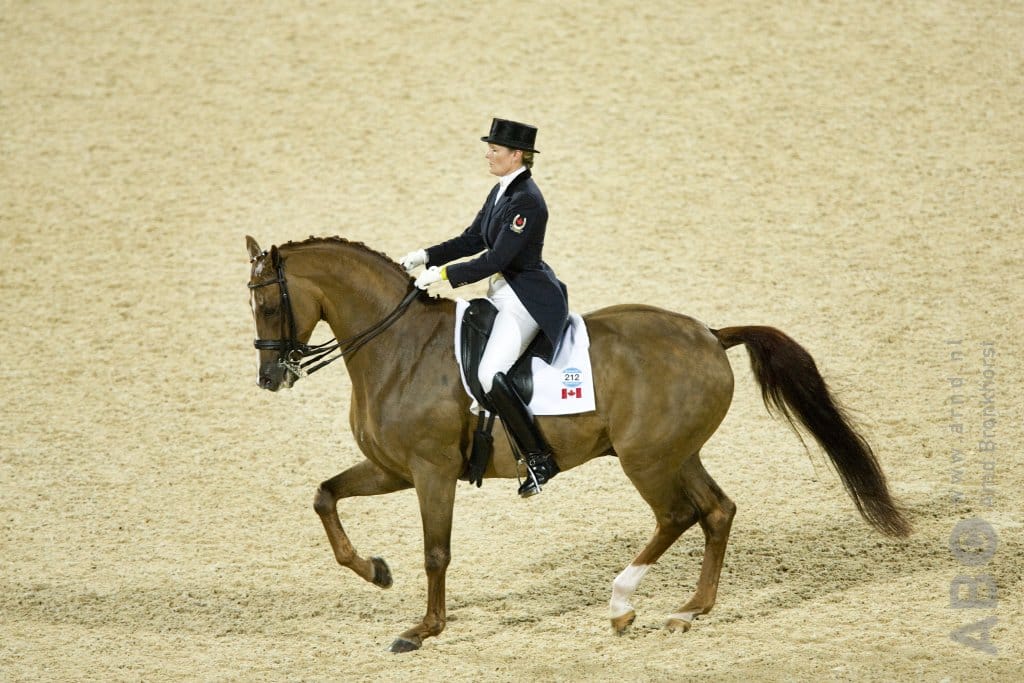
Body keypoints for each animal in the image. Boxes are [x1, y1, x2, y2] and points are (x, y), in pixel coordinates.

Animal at [245, 235, 911, 653]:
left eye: (271, 303)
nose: (271, 377)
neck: (398, 348)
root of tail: (709, 334)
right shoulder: (392, 468)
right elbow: (325, 496)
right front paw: (376, 572)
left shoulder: (431, 471)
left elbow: (436, 553)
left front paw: (423, 629)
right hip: (676, 453)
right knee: (716, 510)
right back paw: (688, 610)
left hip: (647, 460)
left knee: (678, 515)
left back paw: (622, 605)